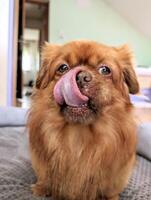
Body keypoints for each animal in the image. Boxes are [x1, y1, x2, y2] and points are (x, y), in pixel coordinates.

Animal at [28, 40, 139, 200]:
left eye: (105, 70)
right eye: (63, 68)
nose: (81, 77)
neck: (78, 136)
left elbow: (110, 190)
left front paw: (111, 197)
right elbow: (45, 177)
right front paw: (41, 189)